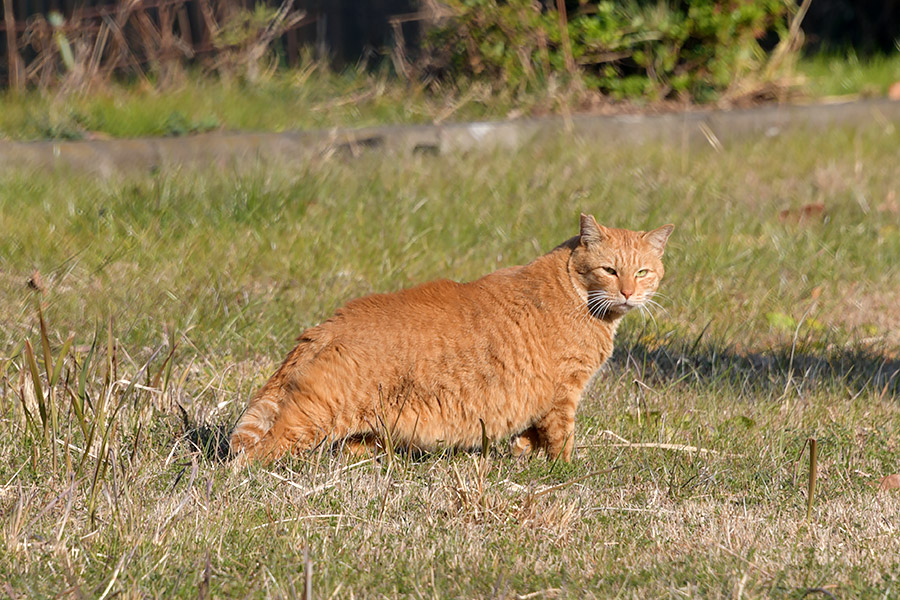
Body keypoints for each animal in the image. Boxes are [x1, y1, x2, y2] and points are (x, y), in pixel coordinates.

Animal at [229, 216, 672, 464]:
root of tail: (328, 325)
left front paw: (522, 458)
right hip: (314, 417)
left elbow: (529, 437)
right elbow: (561, 440)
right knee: (257, 452)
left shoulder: (539, 401)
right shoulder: (563, 394)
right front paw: (563, 469)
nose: (629, 293)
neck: (579, 297)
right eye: (610, 270)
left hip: (368, 429)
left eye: (643, 272)